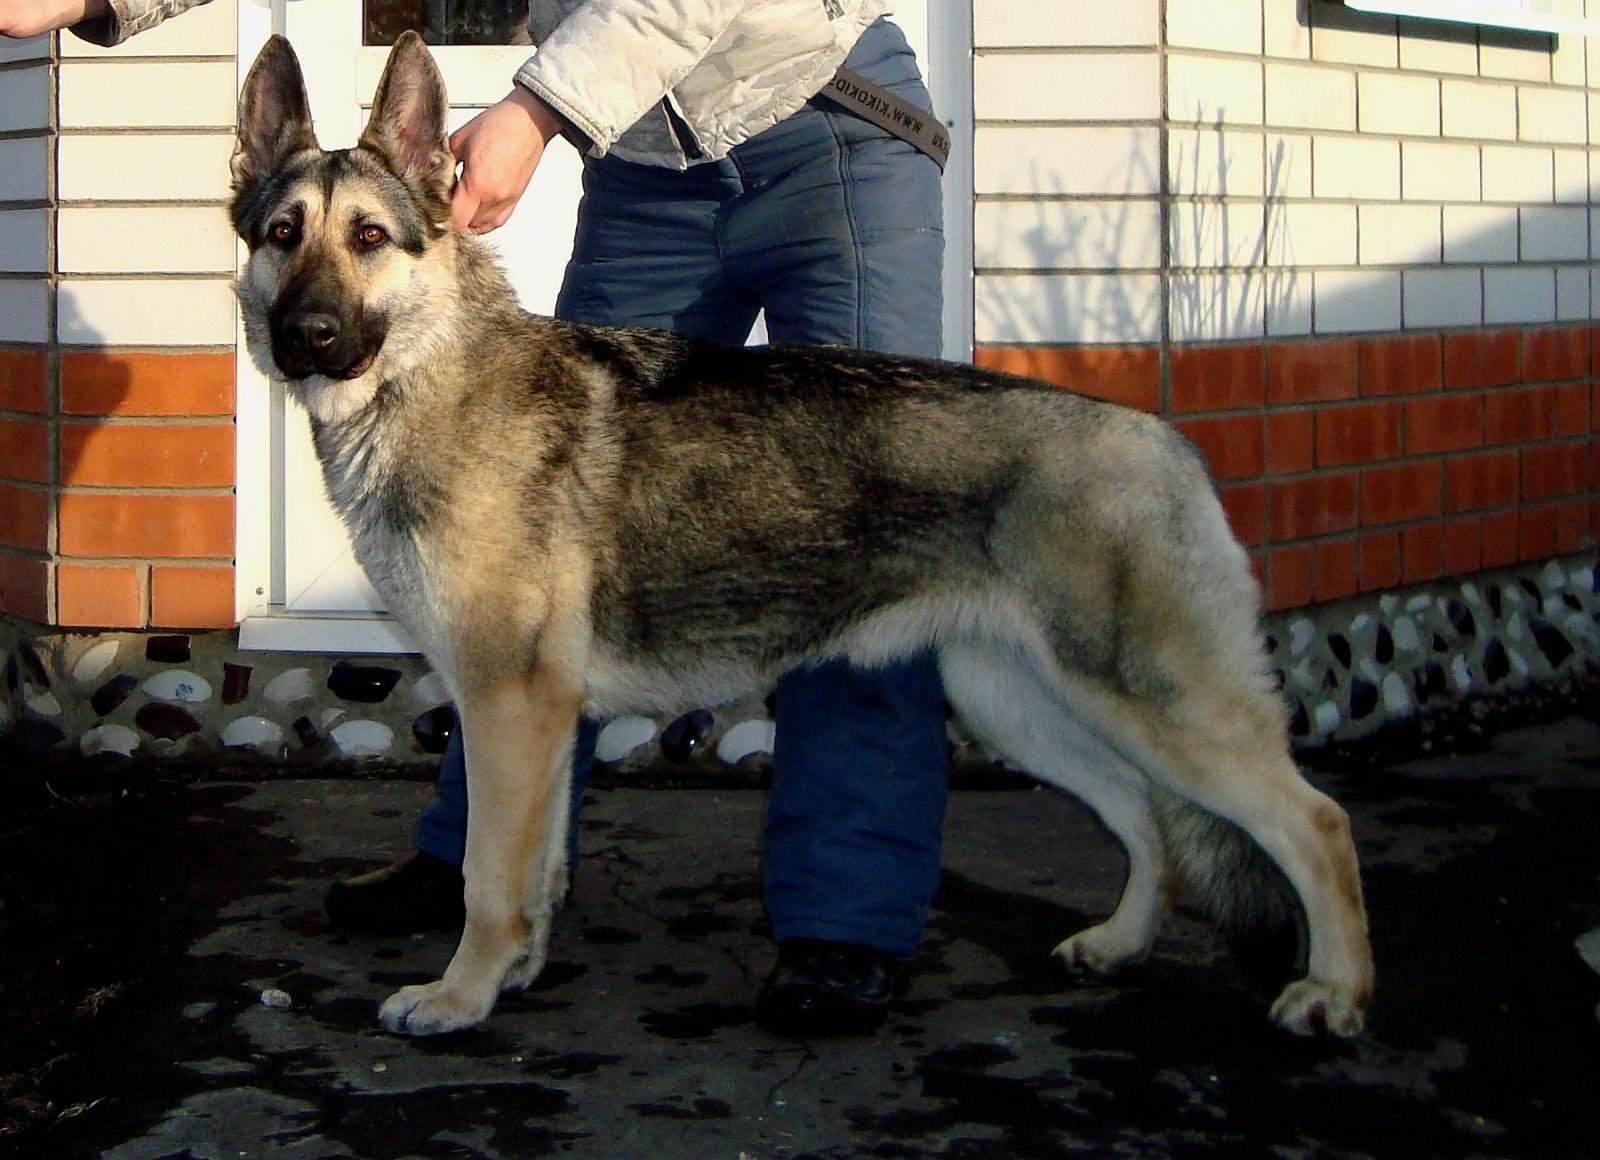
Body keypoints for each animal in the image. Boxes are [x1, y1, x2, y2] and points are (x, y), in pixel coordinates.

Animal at [228, 36, 1376, 1036]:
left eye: (369, 238)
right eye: (283, 236)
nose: (306, 337)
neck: (432, 375)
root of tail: (1166, 440)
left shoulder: (510, 707)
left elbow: (486, 874)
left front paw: (460, 998)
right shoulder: (539, 721)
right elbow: (535, 871)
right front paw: (513, 974)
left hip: (1157, 709)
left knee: (1317, 821)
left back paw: (1334, 993)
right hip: (1022, 706)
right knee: (1144, 819)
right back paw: (1120, 941)